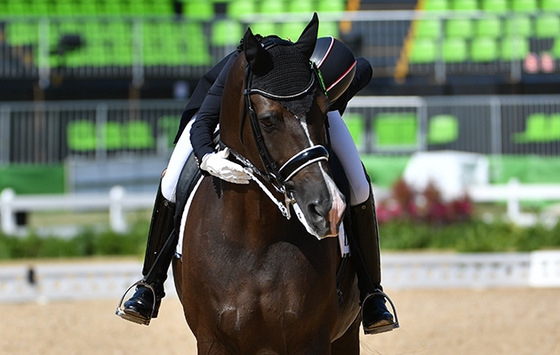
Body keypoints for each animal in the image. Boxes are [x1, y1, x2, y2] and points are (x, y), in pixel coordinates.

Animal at [173, 13, 360, 354]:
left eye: (325, 110)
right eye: (268, 120)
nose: (328, 207)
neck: (256, 235)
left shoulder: (311, 340)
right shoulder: (211, 340)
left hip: (347, 333)